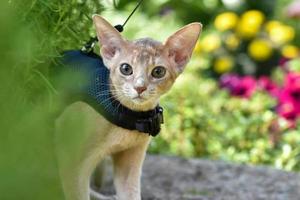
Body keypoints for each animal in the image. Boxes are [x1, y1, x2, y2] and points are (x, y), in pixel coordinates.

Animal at [55, 14, 203, 200]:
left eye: (158, 72)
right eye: (126, 68)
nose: (140, 87)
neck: (128, 115)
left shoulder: (130, 161)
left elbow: (131, 194)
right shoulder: (71, 166)